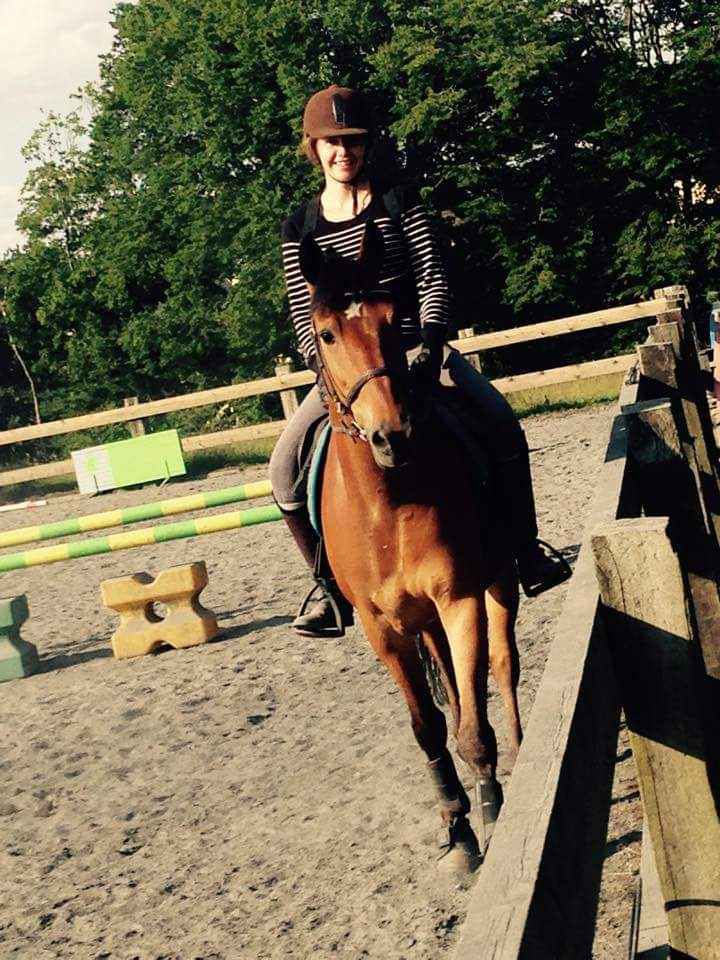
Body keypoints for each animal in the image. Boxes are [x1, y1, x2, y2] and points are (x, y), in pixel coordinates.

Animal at [298, 221, 523, 873]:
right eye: (326, 333)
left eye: (395, 320)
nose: (390, 435)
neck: (388, 506)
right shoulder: (384, 628)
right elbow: (429, 727)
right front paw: (458, 827)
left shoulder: (460, 599)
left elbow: (474, 724)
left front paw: (492, 814)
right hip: (418, 622)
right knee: (451, 687)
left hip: (498, 583)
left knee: (503, 667)